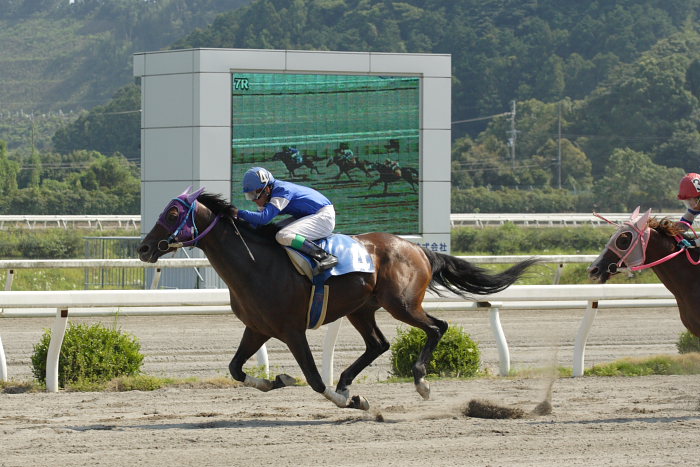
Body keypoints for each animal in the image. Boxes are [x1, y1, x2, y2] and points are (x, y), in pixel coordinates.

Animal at [139, 188, 540, 412]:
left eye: (173, 213)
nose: (143, 248)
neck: (255, 265)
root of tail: (418, 248)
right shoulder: (257, 328)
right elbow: (236, 369)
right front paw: (277, 381)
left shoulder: (292, 331)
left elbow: (315, 380)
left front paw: (347, 400)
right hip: (362, 309)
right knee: (379, 344)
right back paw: (348, 381)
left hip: (402, 304)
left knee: (437, 327)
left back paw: (420, 381)